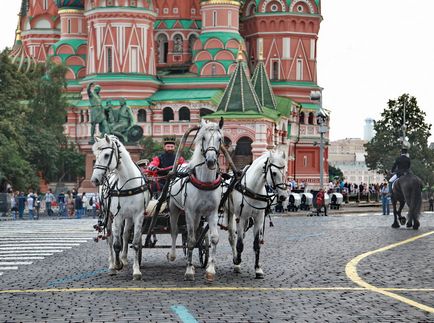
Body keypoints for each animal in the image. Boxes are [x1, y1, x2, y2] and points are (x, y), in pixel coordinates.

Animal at [90, 135, 150, 280]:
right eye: (95, 155)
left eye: (106, 155)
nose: (94, 180)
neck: (128, 183)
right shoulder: (118, 216)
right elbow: (116, 244)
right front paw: (117, 265)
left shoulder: (138, 215)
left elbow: (135, 243)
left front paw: (136, 271)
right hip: (109, 216)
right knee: (111, 238)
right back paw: (112, 265)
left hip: (128, 218)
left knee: (125, 234)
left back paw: (123, 258)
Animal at [168, 118, 224, 280]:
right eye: (203, 138)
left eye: (220, 139)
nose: (211, 161)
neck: (205, 182)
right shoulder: (189, 212)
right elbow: (191, 240)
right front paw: (189, 270)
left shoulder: (212, 212)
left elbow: (214, 238)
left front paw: (210, 270)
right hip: (174, 208)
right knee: (174, 230)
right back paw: (173, 255)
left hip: (199, 215)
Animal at [225, 151, 286, 280]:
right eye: (274, 173)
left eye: (285, 171)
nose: (283, 196)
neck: (253, 189)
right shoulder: (241, 218)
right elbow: (240, 244)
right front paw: (237, 261)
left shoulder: (258, 219)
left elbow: (256, 245)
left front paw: (258, 269)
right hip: (229, 212)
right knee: (232, 237)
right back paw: (235, 262)